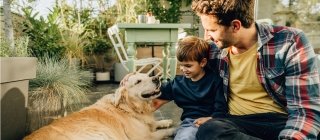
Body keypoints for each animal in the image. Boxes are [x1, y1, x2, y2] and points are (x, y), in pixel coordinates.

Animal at [24, 72, 175, 139]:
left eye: (148, 75)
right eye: (138, 81)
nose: (157, 78)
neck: (128, 108)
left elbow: (155, 123)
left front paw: (166, 121)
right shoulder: (143, 137)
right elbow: (161, 131)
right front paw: (174, 130)